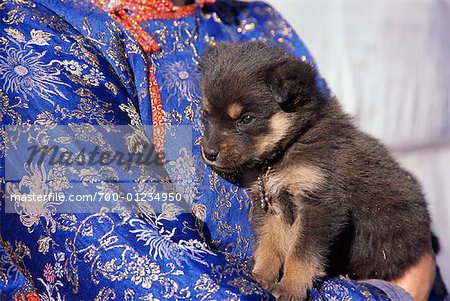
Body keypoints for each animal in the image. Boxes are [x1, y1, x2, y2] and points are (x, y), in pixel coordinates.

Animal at [198, 41, 432, 298]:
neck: (288, 146)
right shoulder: (270, 204)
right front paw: (262, 277)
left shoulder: (320, 204)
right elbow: (269, 243)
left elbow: (301, 254)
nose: (209, 153)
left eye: (247, 119)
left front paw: (290, 288)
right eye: (206, 114)